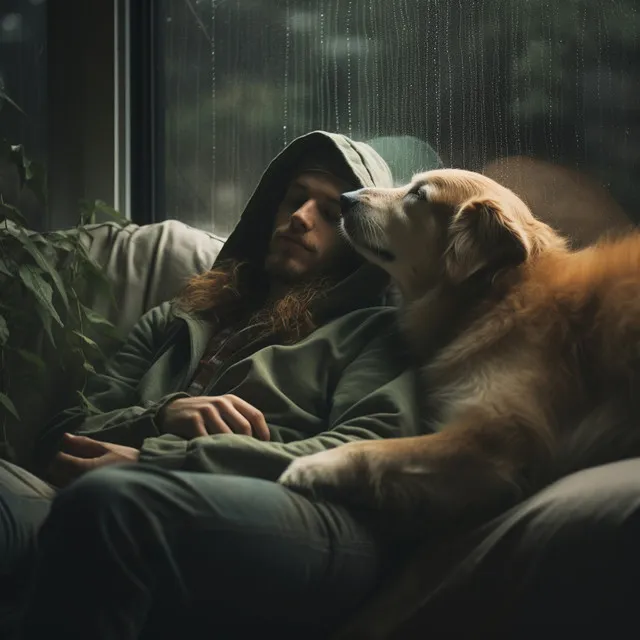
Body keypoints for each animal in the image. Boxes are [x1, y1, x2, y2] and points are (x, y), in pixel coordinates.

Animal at [280, 168, 640, 528]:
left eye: (419, 195)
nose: (345, 199)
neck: (494, 297)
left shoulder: (494, 436)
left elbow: (379, 450)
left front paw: (312, 467)